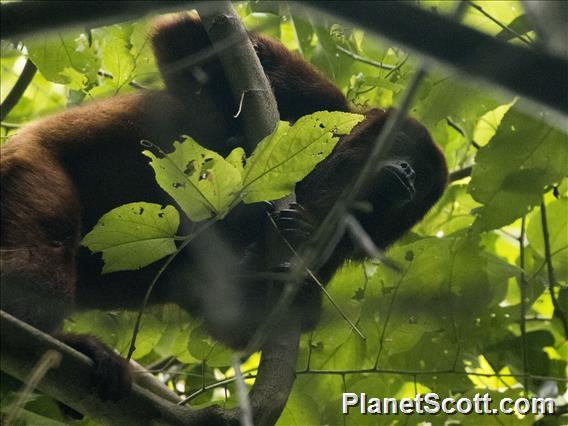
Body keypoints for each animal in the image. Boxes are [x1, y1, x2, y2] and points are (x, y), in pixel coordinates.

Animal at [0, 12, 446, 400]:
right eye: (405, 149)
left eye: (424, 182)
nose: (408, 175)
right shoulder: (322, 103)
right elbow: (185, 40)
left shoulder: (333, 250)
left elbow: (234, 321)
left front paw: (297, 273)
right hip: (30, 166)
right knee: (46, 251)